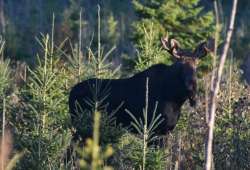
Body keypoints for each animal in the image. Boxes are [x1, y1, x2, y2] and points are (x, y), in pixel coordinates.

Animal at [69, 36, 214, 141]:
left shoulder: (166, 130)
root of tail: (70, 92)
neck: (176, 100)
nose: (192, 89)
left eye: (196, 66)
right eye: (180, 66)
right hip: (79, 122)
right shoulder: (154, 129)